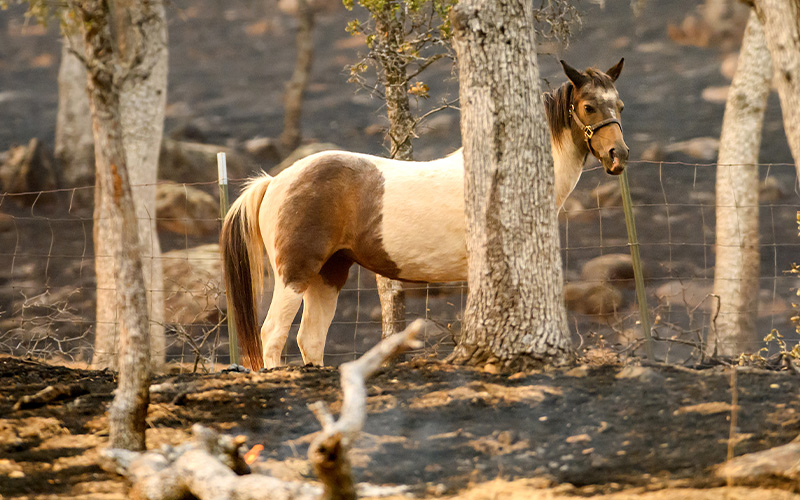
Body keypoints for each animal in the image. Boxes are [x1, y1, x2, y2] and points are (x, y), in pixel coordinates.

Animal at [221, 58, 629, 370]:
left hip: (329, 275)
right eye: (589, 106)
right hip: (295, 274)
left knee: (310, 338)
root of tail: (275, 181)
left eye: (620, 106)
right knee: (273, 335)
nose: (618, 156)